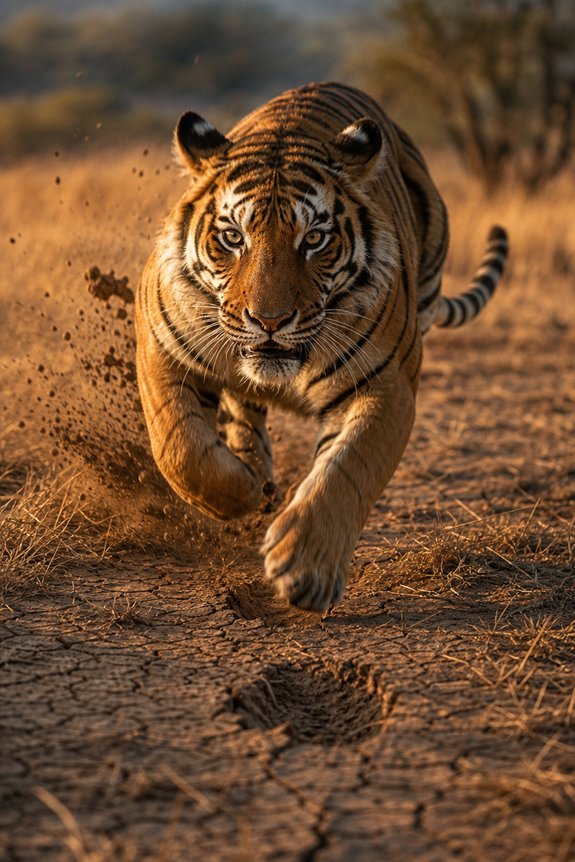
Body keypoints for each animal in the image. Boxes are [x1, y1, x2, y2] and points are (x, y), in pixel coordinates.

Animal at [136, 81, 508, 612]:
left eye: (313, 239)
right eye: (232, 237)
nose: (269, 321)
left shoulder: (387, 385)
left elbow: (347, 469)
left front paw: (306, 568)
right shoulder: (160, 345)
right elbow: (180, 449)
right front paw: (242, 494)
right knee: (240, 412)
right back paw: (257, 474)